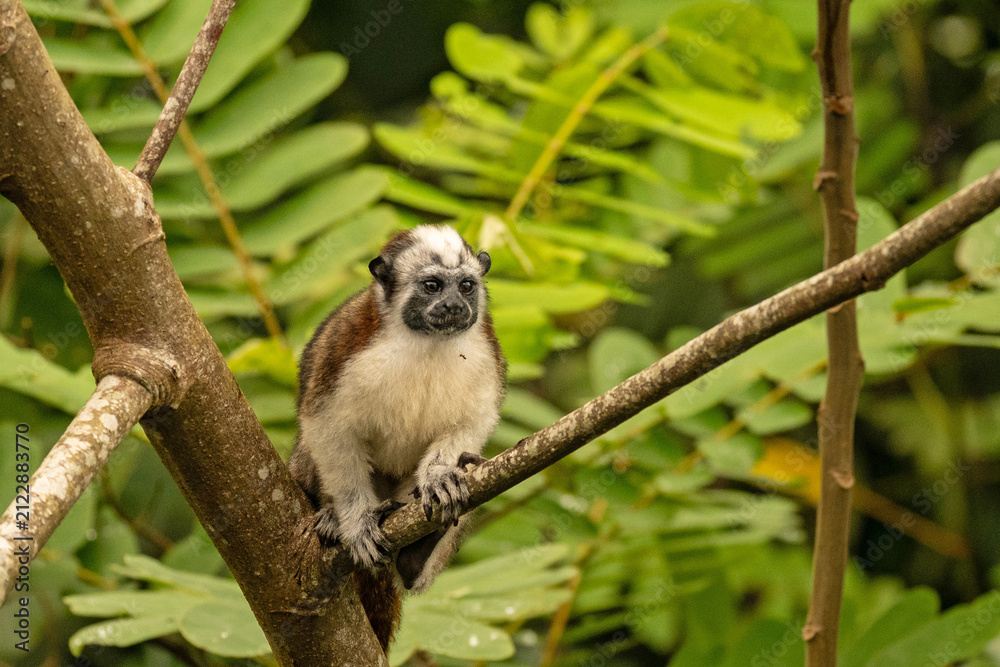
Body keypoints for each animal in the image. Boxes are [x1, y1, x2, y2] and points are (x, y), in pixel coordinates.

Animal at [288, 224, 506, 651]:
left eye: (466, 286)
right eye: (432, 286)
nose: (454, 305)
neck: (427, 339)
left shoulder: (487, 350)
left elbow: (472, 420)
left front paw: (439, 477)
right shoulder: (347, 343)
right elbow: (326, 424)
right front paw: (355, 521)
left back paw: (417, 554)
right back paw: (331, 516)